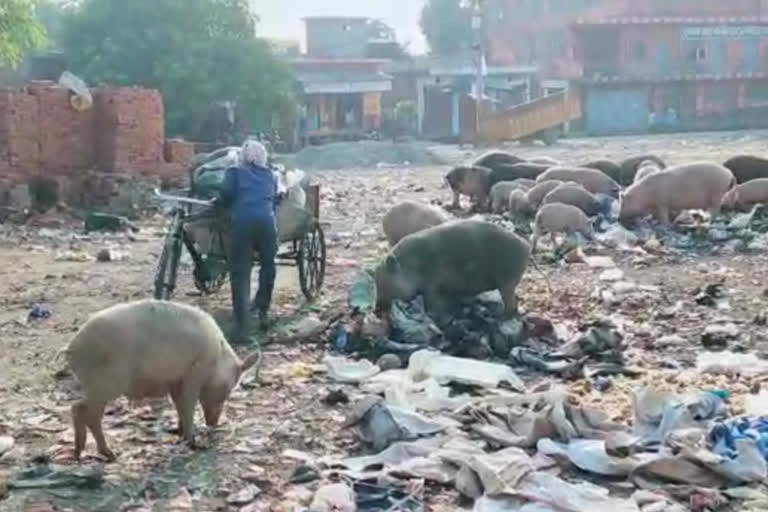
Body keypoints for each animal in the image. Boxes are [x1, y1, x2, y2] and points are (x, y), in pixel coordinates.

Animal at [63, 298, 260, 462]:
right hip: (107, 382)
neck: (217, 357)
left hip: (96, 385)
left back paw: (79, 453)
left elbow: (179, 405)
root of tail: (71, 348)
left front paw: (180, 434)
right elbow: (188, 404)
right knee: (87, 412)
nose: (214, 423)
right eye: (228, 389)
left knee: (77, 408)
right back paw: (109, 454)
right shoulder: (194, 373)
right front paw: (193, 443)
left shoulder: (175, 381)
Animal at [374, 220, 532, 316]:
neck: (411, 266)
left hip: (507, 282)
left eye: (385, 284)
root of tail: (526, 246)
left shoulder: (432, 284)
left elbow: (431, 300)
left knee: (511, 305)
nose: (376, 310)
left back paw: (497, 315)